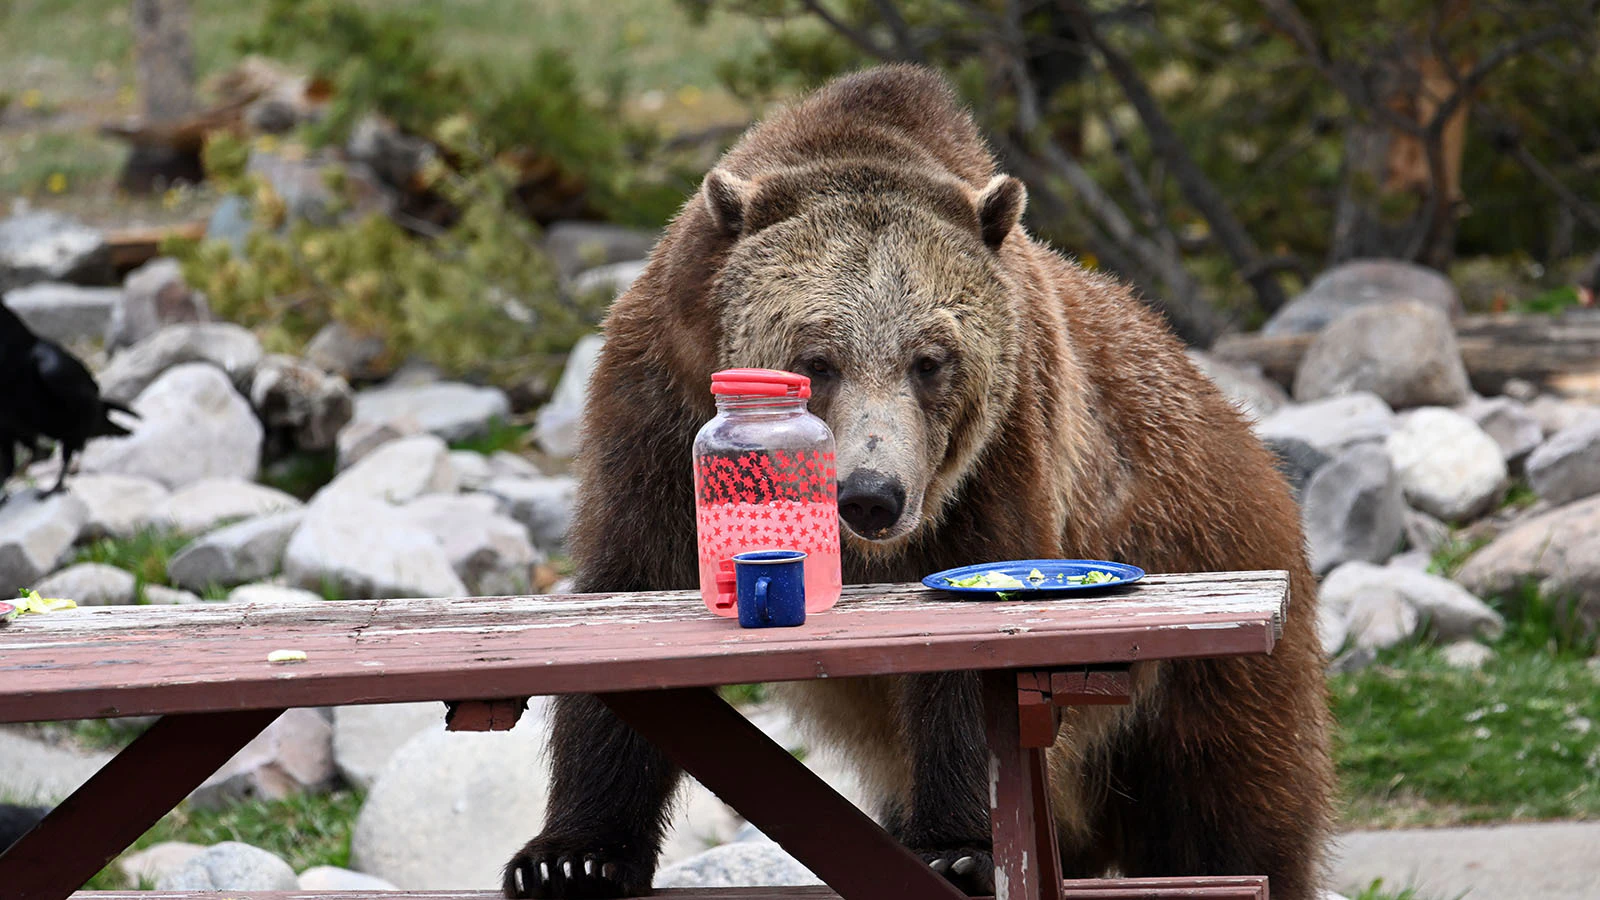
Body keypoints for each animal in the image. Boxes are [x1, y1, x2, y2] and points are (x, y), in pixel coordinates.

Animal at [503, 63, 1333, 900]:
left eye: (930, 360)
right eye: (815, 359)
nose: (871, 494)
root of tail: (1242, 428)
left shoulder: (997, 457)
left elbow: (967, 669)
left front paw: (960, 849)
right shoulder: (657, 419)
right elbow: (629, 592)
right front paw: (571, 856)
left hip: (1205, 629)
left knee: (1224, 812)